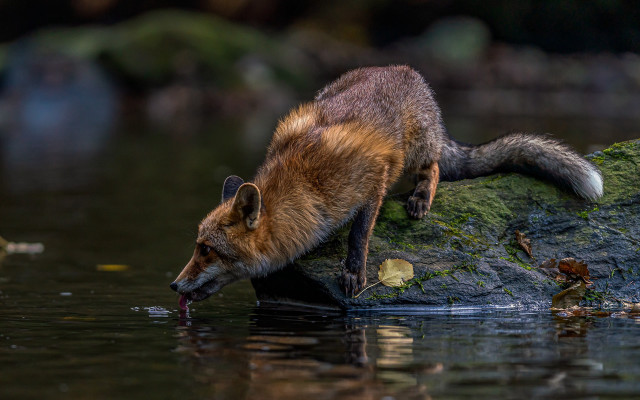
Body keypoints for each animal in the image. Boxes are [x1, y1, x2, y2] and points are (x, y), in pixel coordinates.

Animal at [169, 65, 603, 305]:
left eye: (207, 250)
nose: (173, 285)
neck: (306, 186)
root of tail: (407, 70)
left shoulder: (372, 176)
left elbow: (360, 233)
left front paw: (354, 271)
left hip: (416, 149)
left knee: (435, 167)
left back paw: (420, 197)